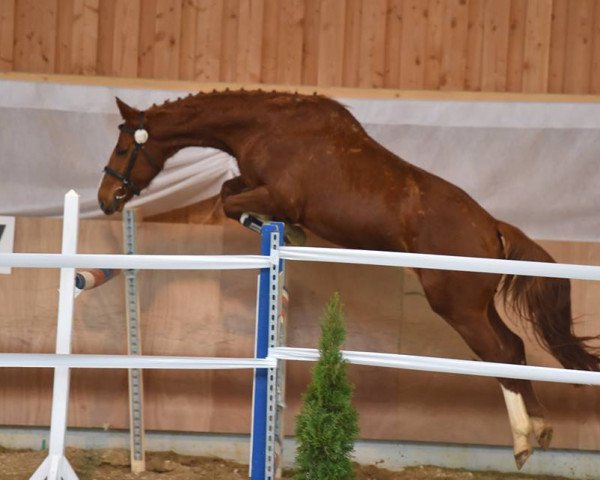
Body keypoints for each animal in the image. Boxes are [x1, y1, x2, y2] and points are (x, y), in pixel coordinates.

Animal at [96, 91, 596, 468]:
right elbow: (228, 190)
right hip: (477, 305)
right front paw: (283, 230)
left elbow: (228, 199)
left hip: (456, 307)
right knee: (514, 348)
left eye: (122, 149)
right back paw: (541, 429)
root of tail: (491, 226)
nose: (105, 198)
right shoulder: (257, 185)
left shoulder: (278, 194)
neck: (266, 127)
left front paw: (281, 229)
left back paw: (523, 441)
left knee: (499, 355)